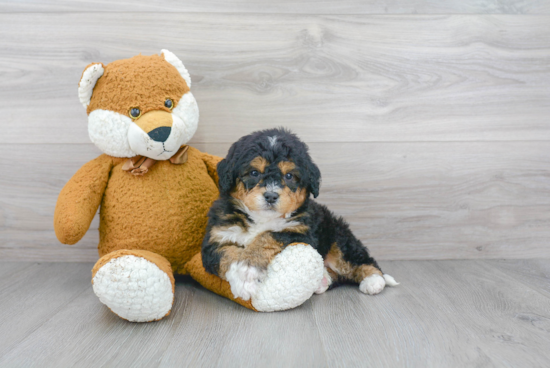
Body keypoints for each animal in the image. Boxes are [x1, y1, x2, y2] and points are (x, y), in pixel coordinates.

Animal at [201, 128, 398, 300]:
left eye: (289, 176)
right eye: (254, 172)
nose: (271, 196)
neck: (262, 219)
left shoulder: (301, 232)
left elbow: (267, 236)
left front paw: (247, 269)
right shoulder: (216, 238)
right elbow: (226, 254)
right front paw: (242, 278)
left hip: (339, 238)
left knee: (360, 260)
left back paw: (374, 280)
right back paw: (323, 280)